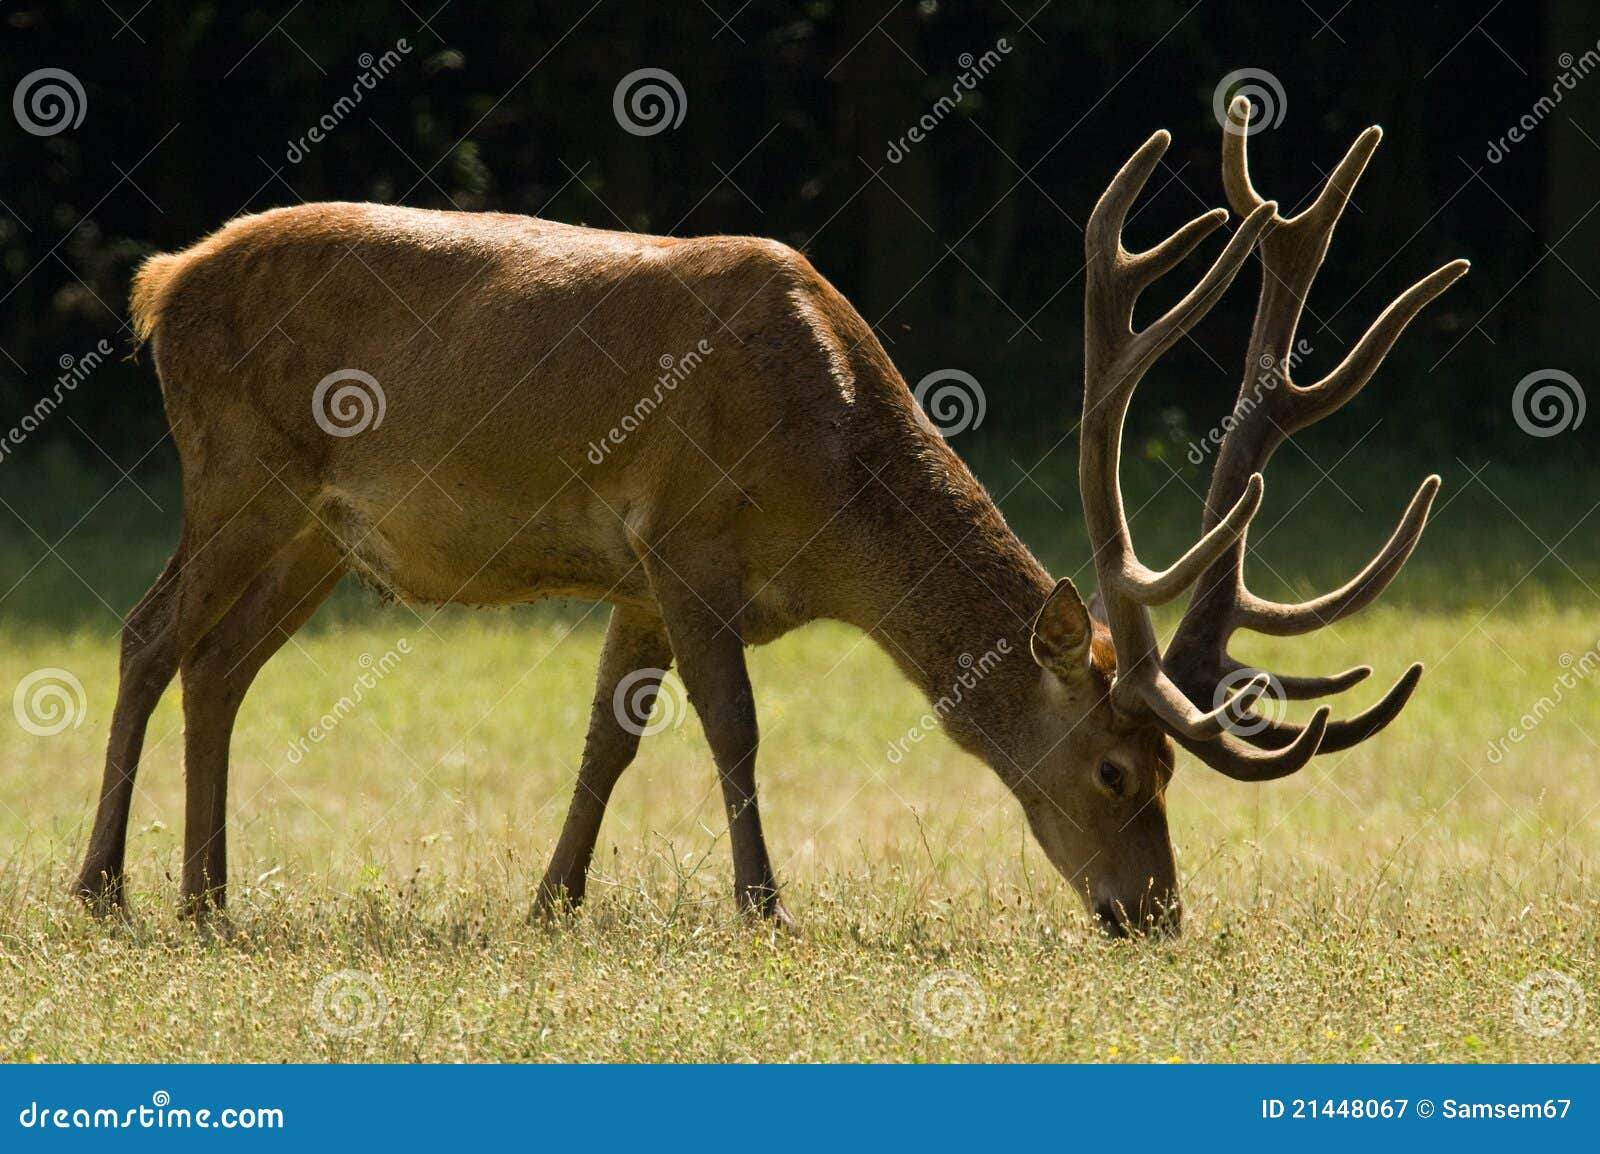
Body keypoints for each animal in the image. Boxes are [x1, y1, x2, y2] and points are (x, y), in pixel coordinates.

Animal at [76, 94, 1465, 936]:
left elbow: (607, 737)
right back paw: (105, 889)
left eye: (1174, 768)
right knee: (149, 633)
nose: (1154, 913)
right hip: (235, 468)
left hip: (318, 527)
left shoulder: (633, 575)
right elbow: (733, 728)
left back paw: (207, 894)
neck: (830, 509)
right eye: (1118, 767)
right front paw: (762, 905)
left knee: (221, 662)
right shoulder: (683, 542)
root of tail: (158, 282)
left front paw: (552, 900)